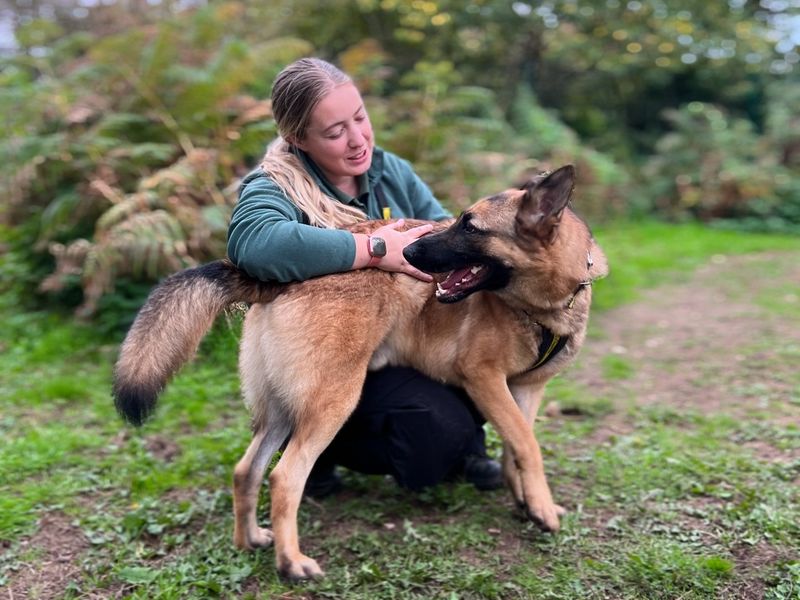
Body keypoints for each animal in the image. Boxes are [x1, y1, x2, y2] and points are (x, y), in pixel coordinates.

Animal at [114, 165, 608, 580]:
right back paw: (292, 564)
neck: (543, 304)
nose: (409, 250)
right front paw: (542, 509)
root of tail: (273, 281)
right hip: (333, 404)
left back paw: (249, 540)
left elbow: (516, 446)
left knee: (246, 471)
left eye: (470, 227)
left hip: (279, 412)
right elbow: (528, 445)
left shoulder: (525, 389)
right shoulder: (484, 379)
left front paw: (527, 502)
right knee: (284, 478)